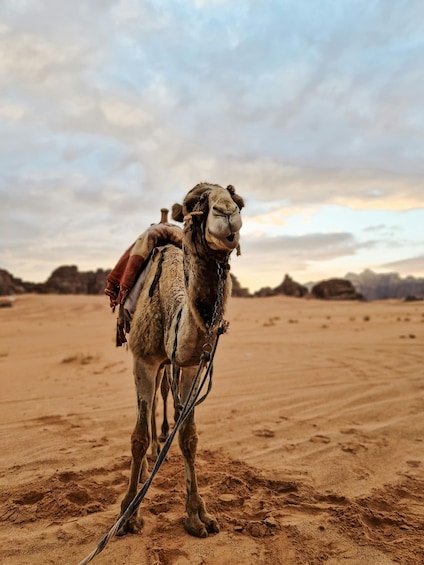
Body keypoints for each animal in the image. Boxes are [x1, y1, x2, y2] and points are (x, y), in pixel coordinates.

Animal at [118, 182, 245, 536]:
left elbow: (188, 436)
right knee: (148, 409)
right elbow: (137, 437)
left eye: (239, 201)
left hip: (168, 364)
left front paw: (197, 515)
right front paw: (128, 514)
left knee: (163, 394)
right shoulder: (143, 359)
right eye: (193, 205)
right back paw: (147, 463)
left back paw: (160, 443)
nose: (226, 212)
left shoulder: (189, 365)